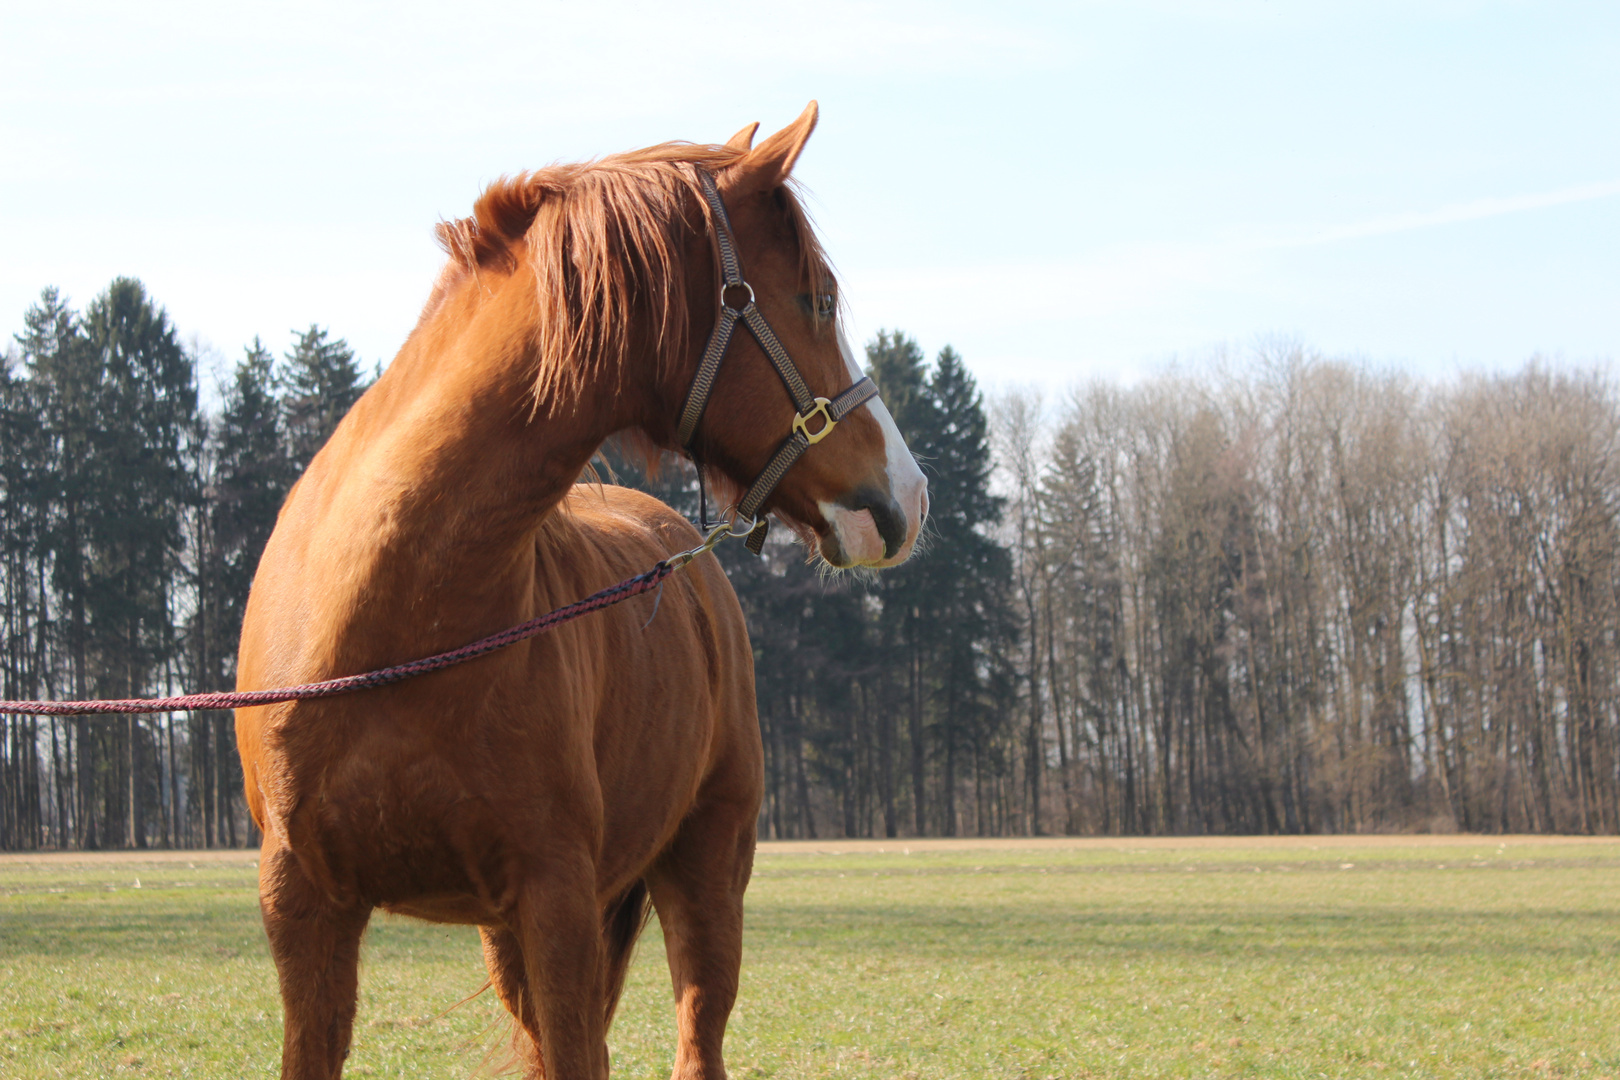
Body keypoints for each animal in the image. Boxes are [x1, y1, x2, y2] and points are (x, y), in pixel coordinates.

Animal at [236, 99, 933, 1080]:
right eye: (819, 300)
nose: (907, 497)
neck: (393, 631)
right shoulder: (307, 909)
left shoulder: (556, 899)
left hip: (705, 870)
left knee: (696, 1039)